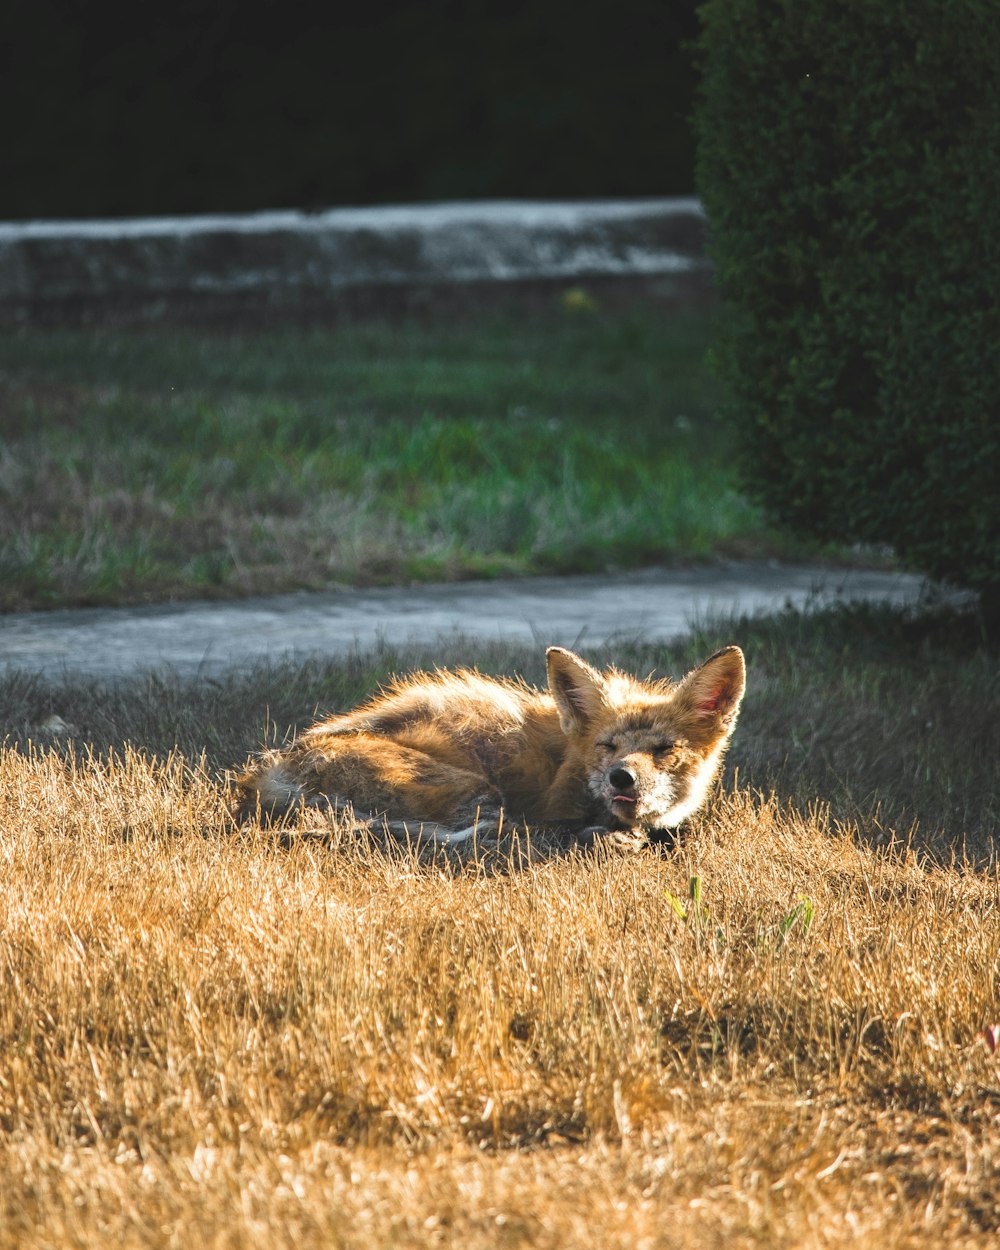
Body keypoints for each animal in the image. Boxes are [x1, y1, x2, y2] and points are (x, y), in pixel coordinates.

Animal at [235, 645, 740, 850]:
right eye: (608, 746)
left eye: (663, 749)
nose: (623, 776)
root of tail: (265, 774)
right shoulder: (549, 807)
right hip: (478, 794)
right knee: (495, 838)